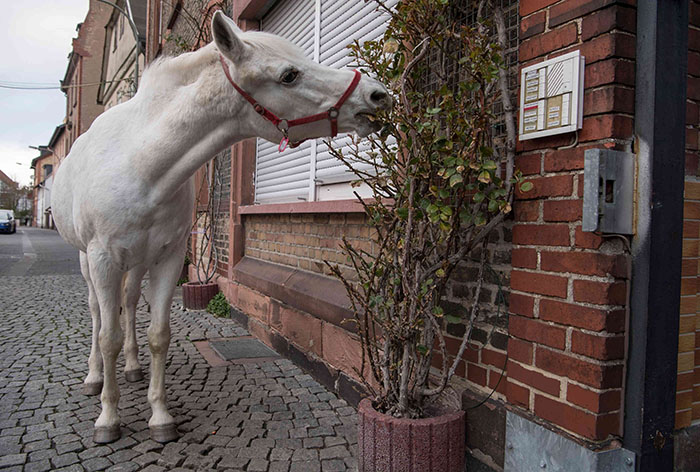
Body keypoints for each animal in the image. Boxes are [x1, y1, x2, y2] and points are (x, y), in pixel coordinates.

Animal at [50, 12, 388, 446]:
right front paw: (108, 418)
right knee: (97, 314)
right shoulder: (103, 258)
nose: (377, 95)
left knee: (128, 302)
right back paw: (95, 378)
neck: (142, 166)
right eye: (289, 75)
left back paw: (132, 367)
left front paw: (160, 415)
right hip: (87, 260)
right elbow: (107, 336)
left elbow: (158, 335)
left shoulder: (168, 258)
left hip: (137, 262)